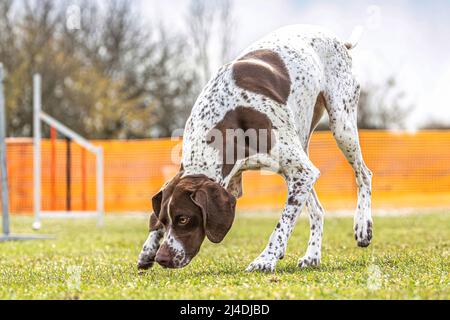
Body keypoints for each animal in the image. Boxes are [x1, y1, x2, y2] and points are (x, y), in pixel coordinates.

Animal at [136, 25, 372, 272]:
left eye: (184, 218)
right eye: (164, 220)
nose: (162, 258)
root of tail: (339, 41)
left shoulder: (302, 171)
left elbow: (282, 224)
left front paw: (265, 259)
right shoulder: (235, 183)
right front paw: (148, 248)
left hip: (341, 126)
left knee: (363, 173)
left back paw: (362, 225)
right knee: (317, 209)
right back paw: (312, 256)